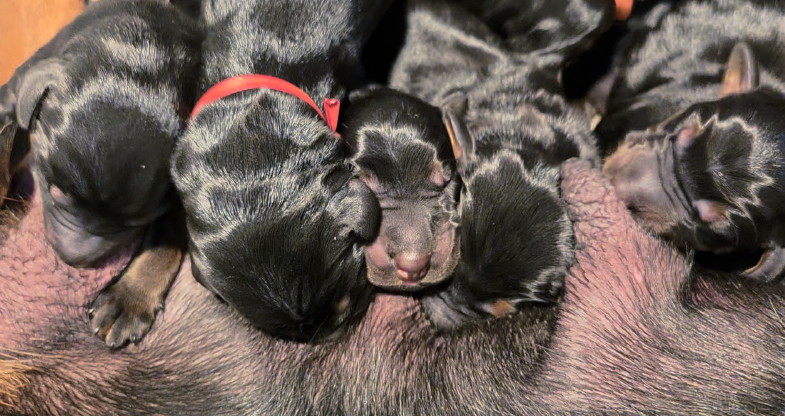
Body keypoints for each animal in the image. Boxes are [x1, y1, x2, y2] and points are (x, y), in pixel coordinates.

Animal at [0, 0, 200, 347]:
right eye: (56, 192)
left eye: (134, 223)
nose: (78, 260)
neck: (138, 53)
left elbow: (167, 235)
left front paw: (128, 298)